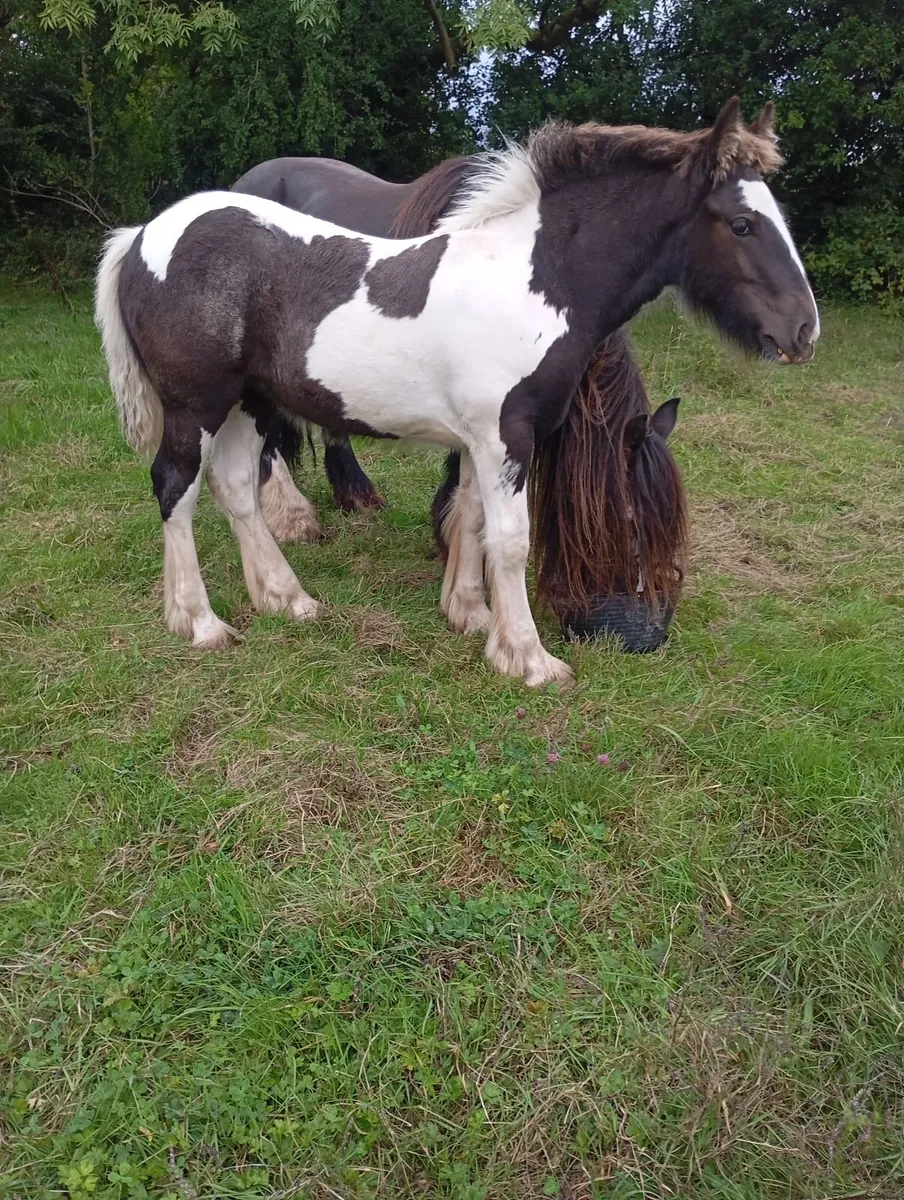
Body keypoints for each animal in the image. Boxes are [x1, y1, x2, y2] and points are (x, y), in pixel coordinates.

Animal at [95, 98, 819, 686]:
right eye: (742, 224)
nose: (804, 330)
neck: (536, 279)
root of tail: (142, 237)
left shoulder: (481, 439)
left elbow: (470, 517)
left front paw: (471, 616)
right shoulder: (508, 435)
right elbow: (511, 539)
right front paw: (529, 658)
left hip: (246, 402)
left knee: (238, 488)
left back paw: (286, 598)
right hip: (195, 406)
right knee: (175, 488)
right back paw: (199, 622)